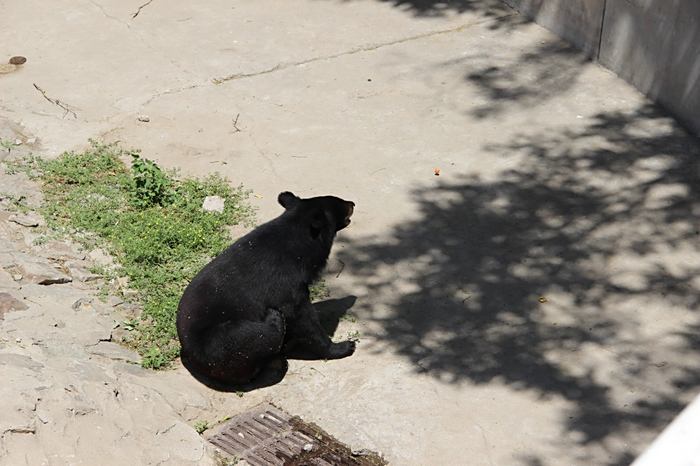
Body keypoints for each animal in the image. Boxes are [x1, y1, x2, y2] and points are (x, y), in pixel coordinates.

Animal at [178, 190, 358, 390]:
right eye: (340, 204)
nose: (352, 203)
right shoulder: (287, 285)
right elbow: (304, 319)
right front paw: (344, 346)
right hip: (223, 343)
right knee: (261, 335)